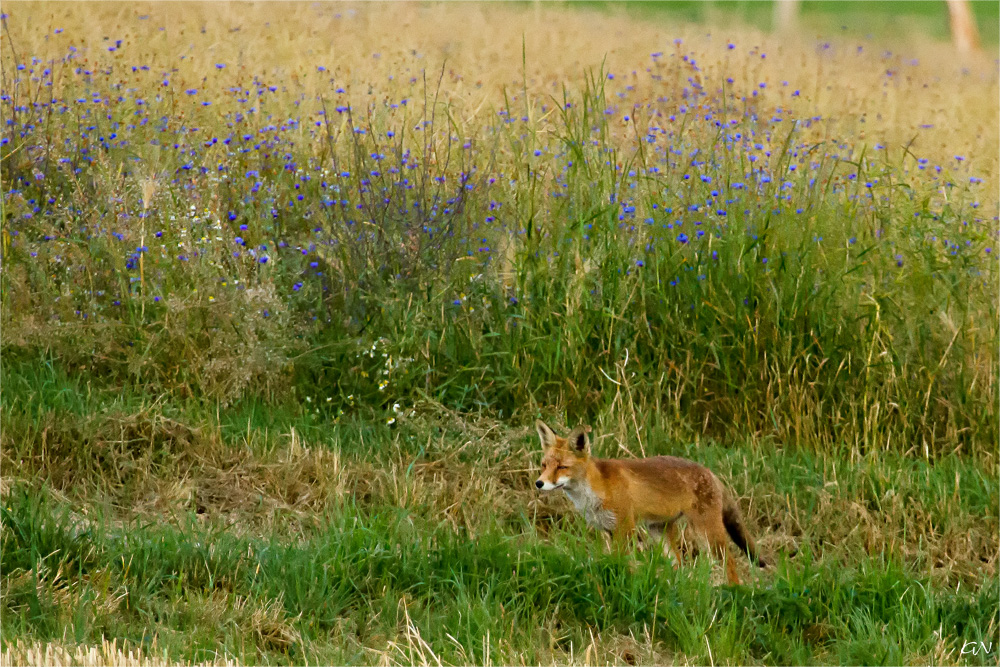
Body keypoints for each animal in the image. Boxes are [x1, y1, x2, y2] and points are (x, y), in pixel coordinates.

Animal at [540, 422, 764, 584]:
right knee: (679, 562)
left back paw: (734, 592)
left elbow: (622, 561)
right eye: (544, 465)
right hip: (659, 532)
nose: (538, 483)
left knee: (730, 563)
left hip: (706, 533)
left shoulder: (625, 527)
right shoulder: (609, 529)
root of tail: (709, 472)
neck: (596, 488)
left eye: (561, 467)